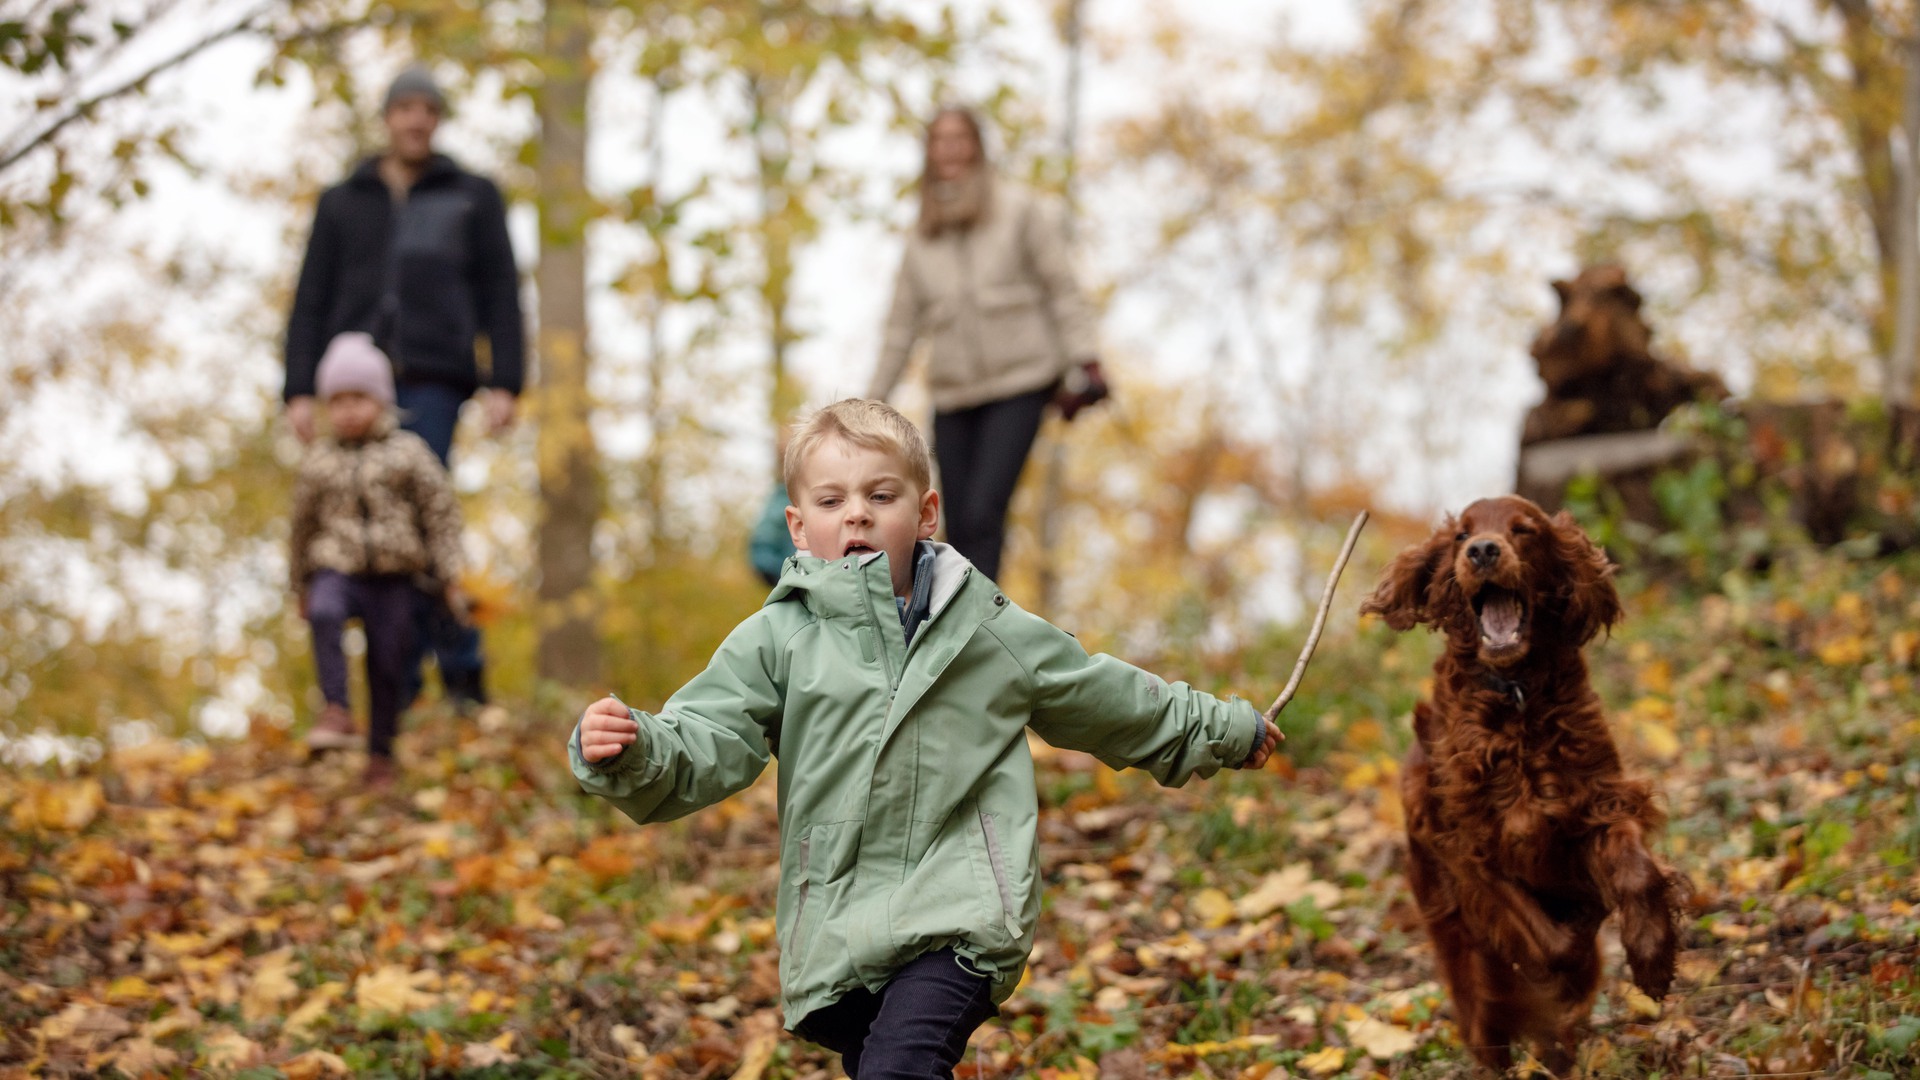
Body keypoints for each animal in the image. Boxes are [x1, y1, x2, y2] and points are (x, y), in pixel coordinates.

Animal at [1367, 495, 1681, 1068]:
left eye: (1524, 530)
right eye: (1460, 535)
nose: (1482, 550)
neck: (1513, 695)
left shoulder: (1597, 804)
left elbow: (1636, 871)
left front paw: (1652, 953)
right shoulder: (1471, 853)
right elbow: (1553, 945)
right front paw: (1585, 920)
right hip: (1467, 970)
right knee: (1491, 1030)